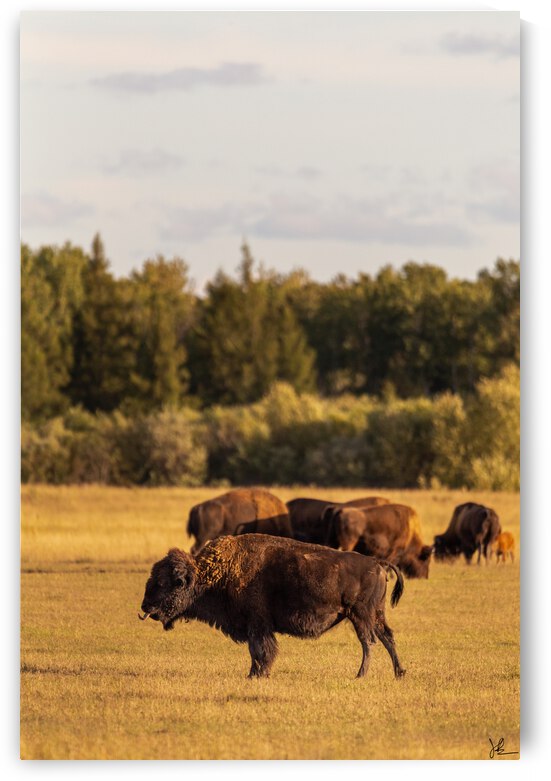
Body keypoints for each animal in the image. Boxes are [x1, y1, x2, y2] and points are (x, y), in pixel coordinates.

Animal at [139, 534, 406, 680]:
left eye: (164, 583)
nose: (145, 607)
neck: (216, 572)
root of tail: (377, 563)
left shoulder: (257, 624)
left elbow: (260, 650)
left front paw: (258, 675)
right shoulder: (255, 626)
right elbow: (256, 651)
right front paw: (253, 674)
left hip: (360, 615)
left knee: (369, 642)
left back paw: (360, 675)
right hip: (375, 615)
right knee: (387, 638)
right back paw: (399, 673)